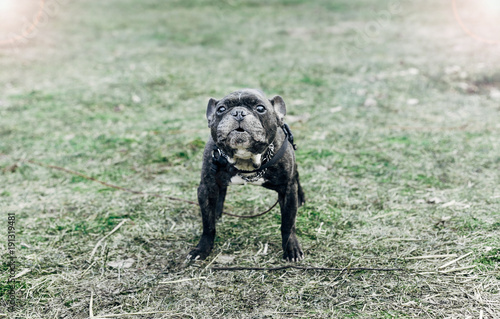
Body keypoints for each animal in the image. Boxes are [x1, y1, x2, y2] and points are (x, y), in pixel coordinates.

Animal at [188, 88, 304, 262]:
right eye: (221, 109)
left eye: (260, 108)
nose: (238, 113)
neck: (246, 160)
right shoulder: (207, 188)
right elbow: (208, 225)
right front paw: (202, 249)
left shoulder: (287, 190)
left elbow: (288, 224)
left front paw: (291, 248)